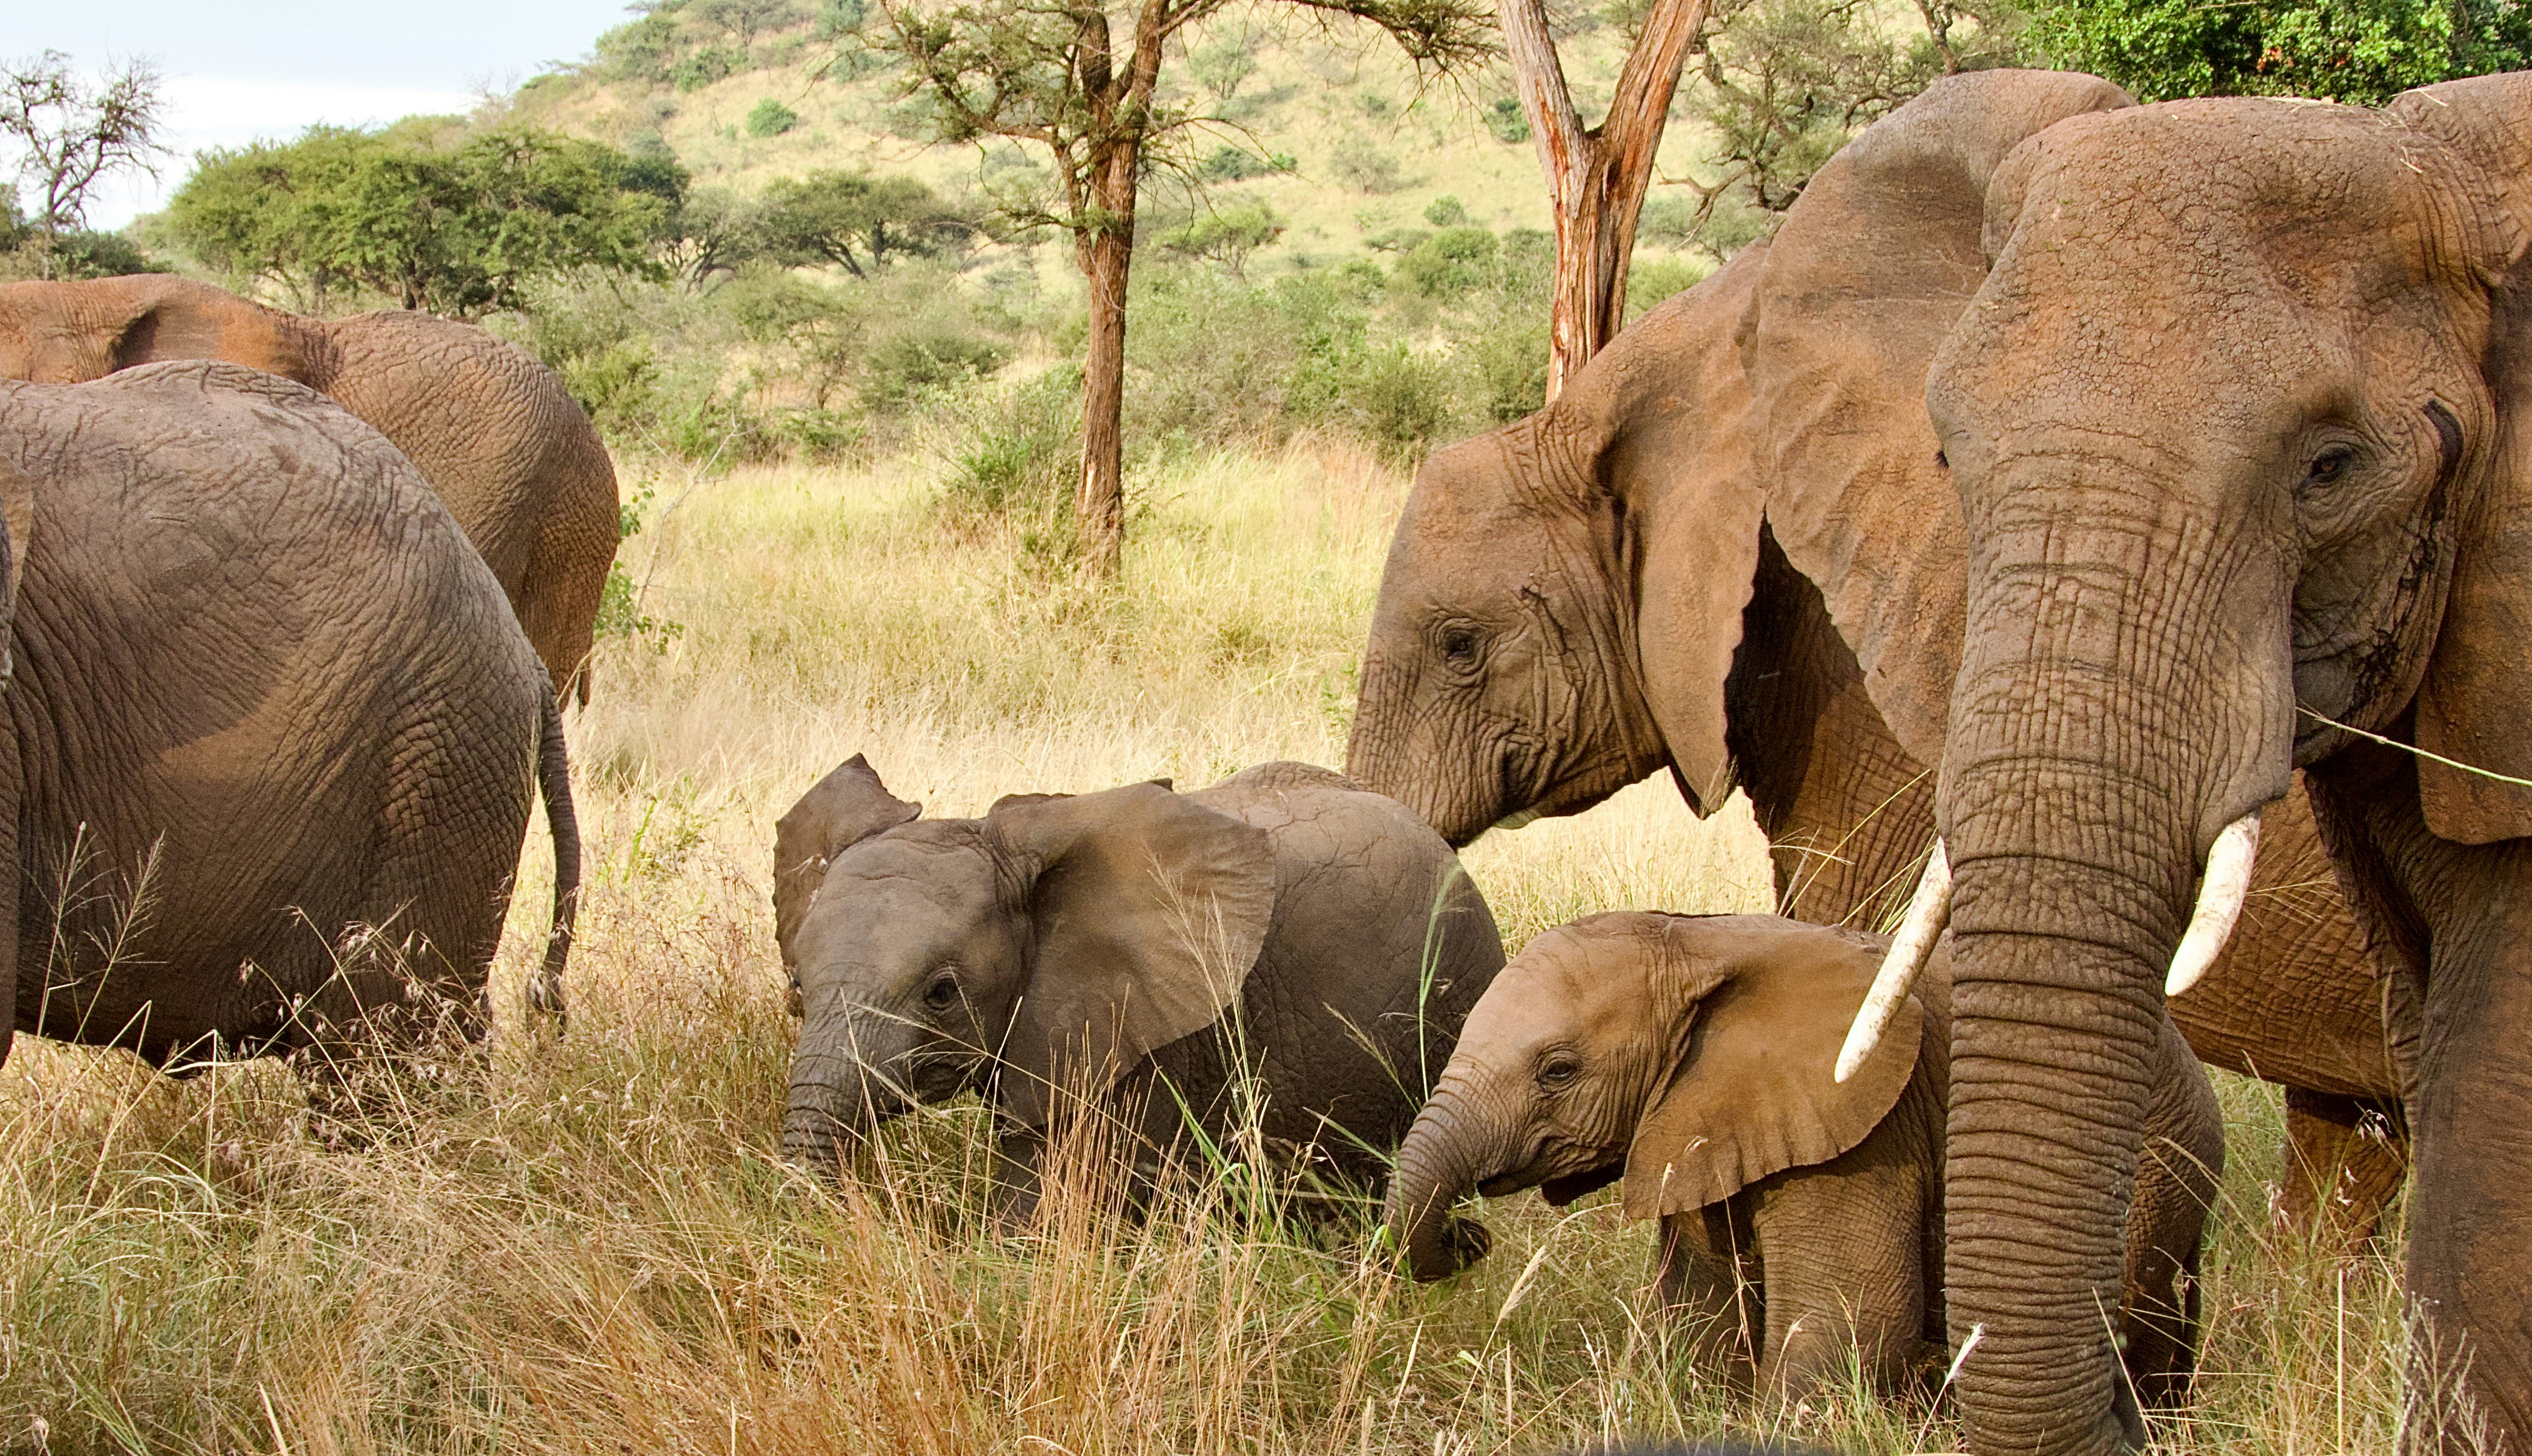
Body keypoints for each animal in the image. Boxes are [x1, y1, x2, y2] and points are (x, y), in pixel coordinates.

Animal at [1383, 913, 2221, 1407]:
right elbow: (1699, 1318)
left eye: (1557, 1071)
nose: (1471, 1235)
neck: (1700, 942)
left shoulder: (1865, 1131)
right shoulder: (1699, 1122)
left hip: (2156, 1164)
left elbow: (1851, 1321)